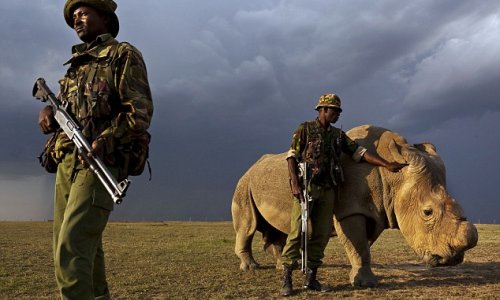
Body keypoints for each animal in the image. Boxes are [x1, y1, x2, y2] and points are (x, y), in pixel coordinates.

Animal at [232, 125, 478, 288]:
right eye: (427, 212)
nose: (453, 259)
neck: (393, 178)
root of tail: (250, 167)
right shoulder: (349, 210)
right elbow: (358, 244)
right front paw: (365, 284)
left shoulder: (376, 210)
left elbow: (361, 245)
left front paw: (359, 278)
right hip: (244, 183)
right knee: (248, 225)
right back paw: (251, 268)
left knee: (279, 229)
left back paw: (280, 266)